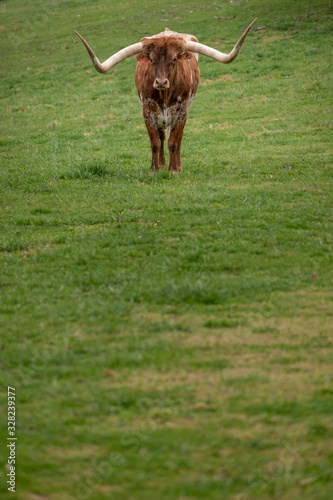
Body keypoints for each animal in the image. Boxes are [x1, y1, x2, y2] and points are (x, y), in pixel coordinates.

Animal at [74, 19, 256, 173]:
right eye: (151, 59)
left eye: (174, 59)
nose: (161, 81)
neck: (164, 96)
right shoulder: (147, 112)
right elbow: (155, 142)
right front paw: (154, 170)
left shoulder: (181, 112)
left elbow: (174, 141)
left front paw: (174, 170)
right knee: (161, 137)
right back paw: (161, 164)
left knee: (178, 139)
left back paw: (177, 166)